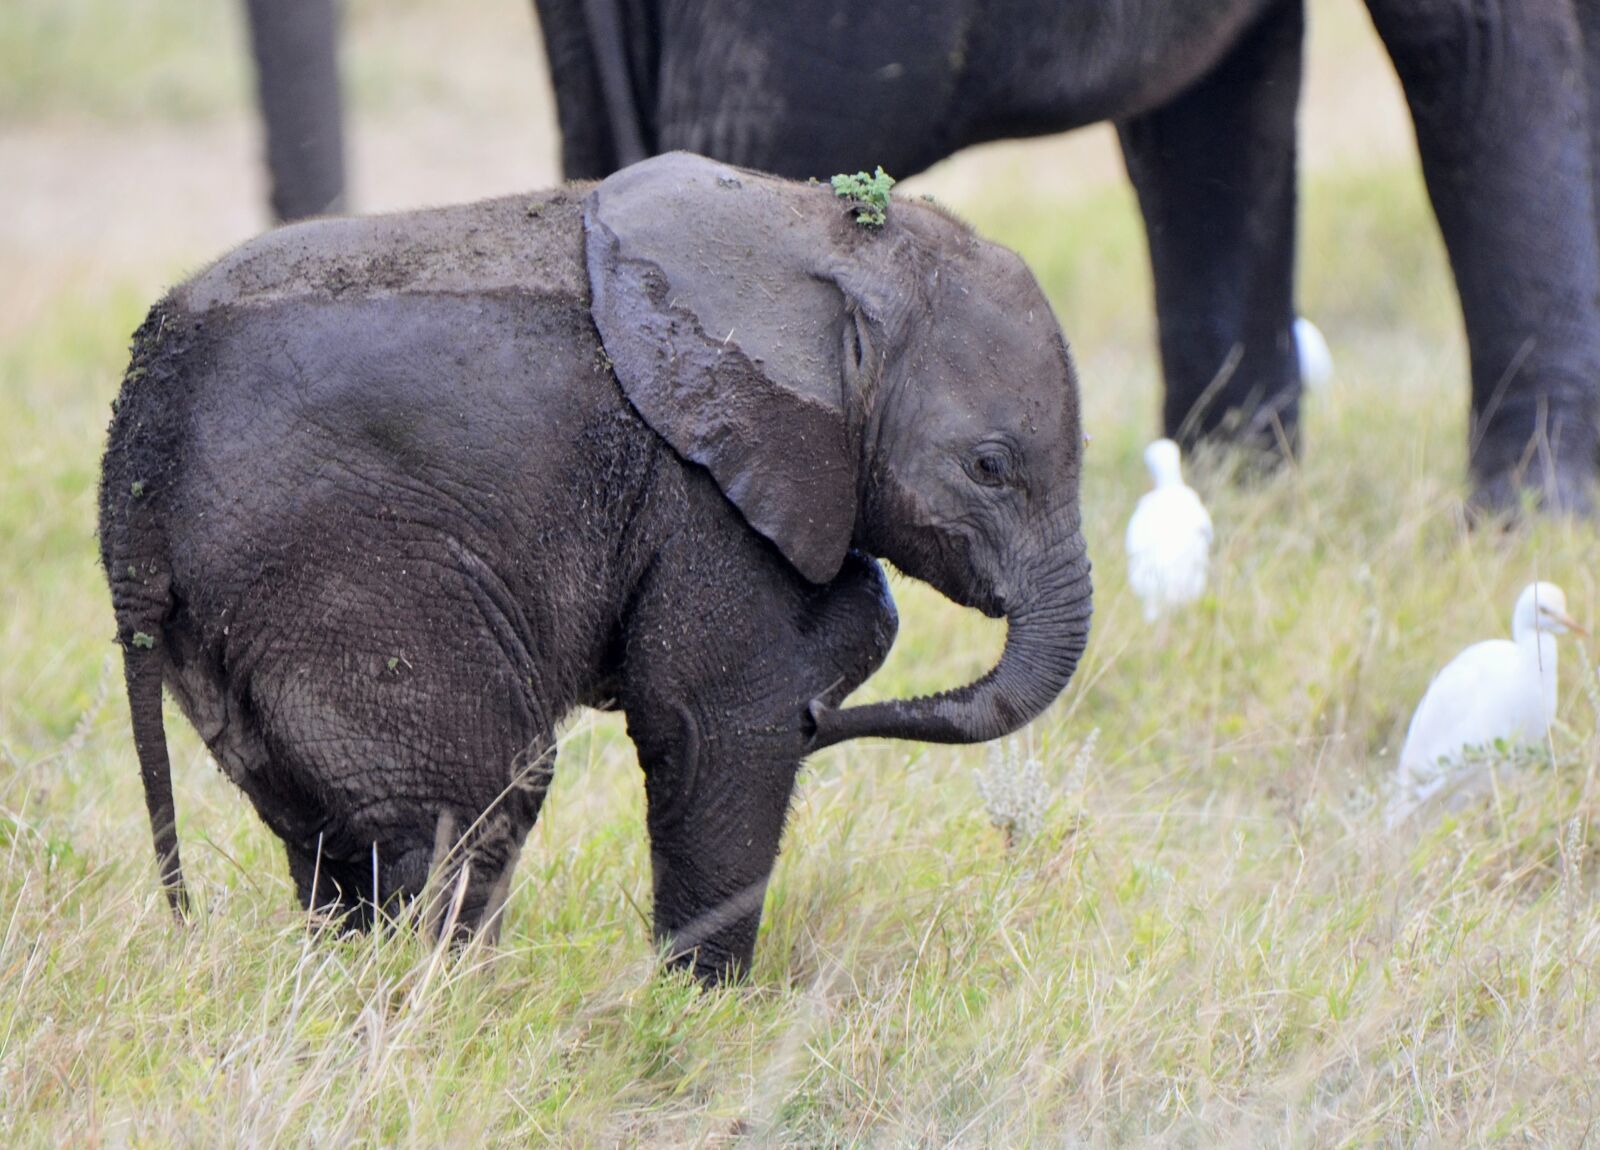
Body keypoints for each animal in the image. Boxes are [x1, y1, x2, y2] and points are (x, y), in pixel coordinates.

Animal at [98, 153, 1093, 981]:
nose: (828, 723)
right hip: (344, 567)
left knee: (331, 833)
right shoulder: (700, 490)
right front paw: (703, 1011)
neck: (826, 237)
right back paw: (452, 1006)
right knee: (475, 798)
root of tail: (135, 453)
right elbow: (716, 721)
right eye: (990, 467)